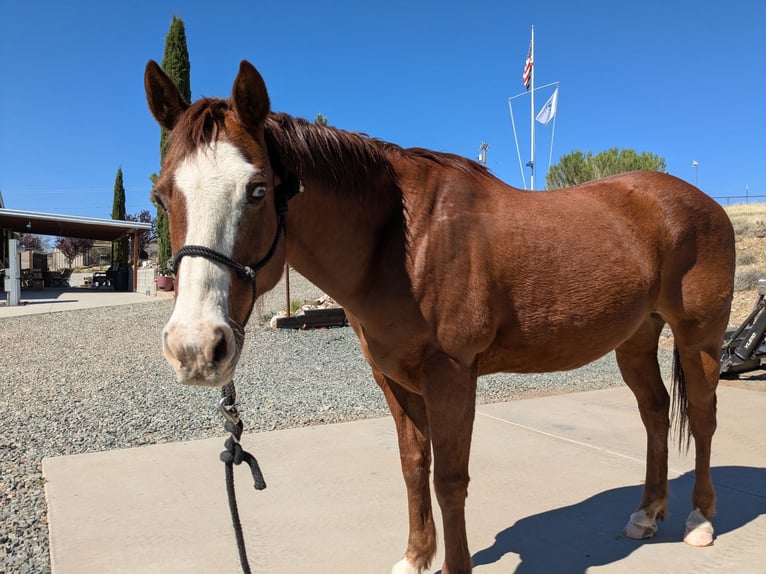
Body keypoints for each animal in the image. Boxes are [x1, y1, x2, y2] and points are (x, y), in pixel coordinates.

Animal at [144, 59, 735, 574]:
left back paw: (699, 521)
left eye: (258, 189)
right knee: (655, 413)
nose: (195, 347)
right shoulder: (392, 378)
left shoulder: (451, 376)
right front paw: (415, 558)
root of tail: (700, 200)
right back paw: (647, 514)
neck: (403, 241)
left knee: (704, 417)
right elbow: (414, 466)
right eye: (162, 194)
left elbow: (450, 479)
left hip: (698, 338)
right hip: (635, 337)